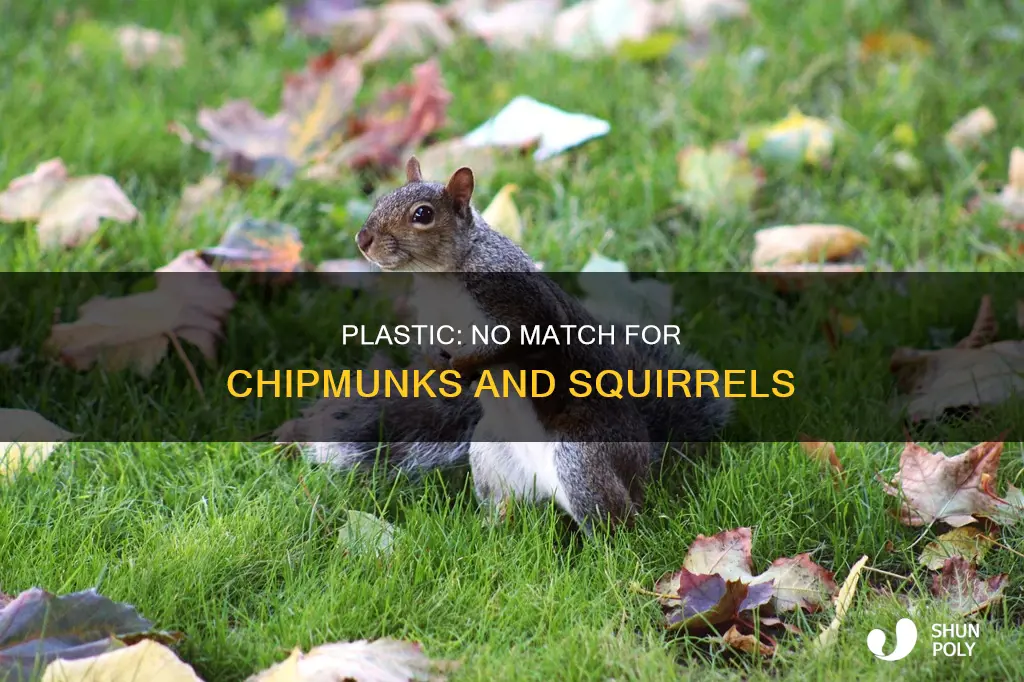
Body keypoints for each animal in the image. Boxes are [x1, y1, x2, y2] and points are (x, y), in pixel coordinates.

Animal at [348, 157, 653, 533]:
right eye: (379, 199)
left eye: (422, 214)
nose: (363, 240)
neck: (442, 277)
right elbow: (431, 346)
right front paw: (436, 368)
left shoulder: (519, 303)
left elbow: (508, 343)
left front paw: (460, 368)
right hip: (489, 454)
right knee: (506, 502)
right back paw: (490, 526)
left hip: (581, 459)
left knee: (616, 518)